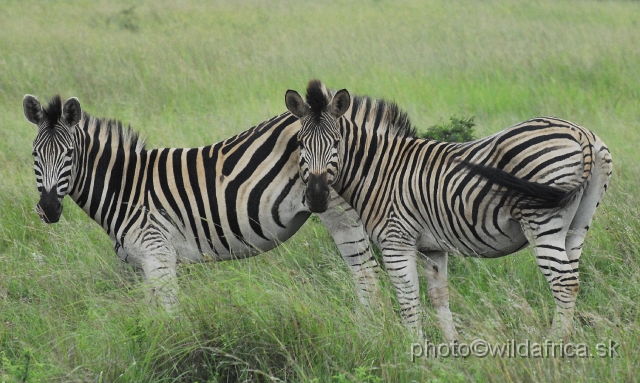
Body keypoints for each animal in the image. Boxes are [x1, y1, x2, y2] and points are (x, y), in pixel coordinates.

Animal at [22, 94, 380, 312]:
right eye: (35, 154)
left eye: (70, 154)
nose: (49, 209)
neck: (124, 187)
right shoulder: (144, 263)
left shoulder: (158, 254)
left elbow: (169, 317)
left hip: (339, 211)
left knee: (366, 273)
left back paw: (368, 329)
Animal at [284, 80, 608, 342]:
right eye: (300, 143)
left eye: (337, 143)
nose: (316, 198)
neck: (380, 170)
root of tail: (581, 133)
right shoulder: (432, 248)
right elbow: (439, 297)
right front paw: (451, 348)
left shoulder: (396, 241)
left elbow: (408, 299)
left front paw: (413, 351)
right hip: (578, 224)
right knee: (573, 278)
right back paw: (569, 338)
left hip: (542, 221)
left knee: (563, 282)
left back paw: (556, 344)